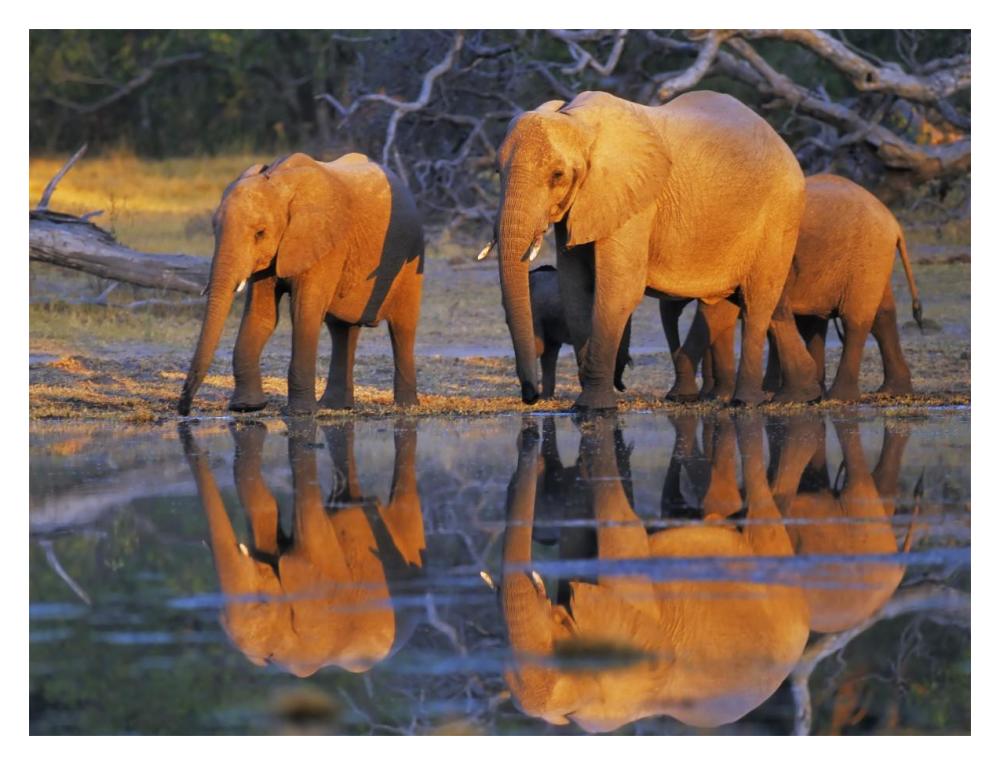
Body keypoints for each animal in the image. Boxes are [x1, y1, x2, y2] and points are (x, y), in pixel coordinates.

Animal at [177, 151, 424, 416]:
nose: (184, 409)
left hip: (411, 255)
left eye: (260, 233)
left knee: (402, 327)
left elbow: (304, 312)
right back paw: (335, 406)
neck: (279, 181)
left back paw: (406, 406)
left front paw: (301, 413)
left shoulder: (323, 243)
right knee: (341, 329)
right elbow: (261, 315)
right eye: (214, 229)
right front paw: (247, 407)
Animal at [667, 174, 924, 402]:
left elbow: (721, 313)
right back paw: (890, 391)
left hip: (867, 258)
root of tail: (894, 222)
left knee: (855, 321)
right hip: (873, 263)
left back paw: (839, 397)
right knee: (881, 316)